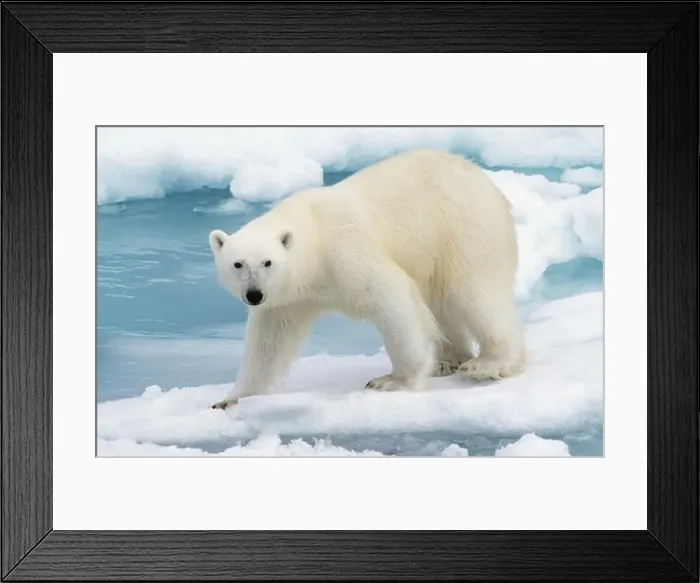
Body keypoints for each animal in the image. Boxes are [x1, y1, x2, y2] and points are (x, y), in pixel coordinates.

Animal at [208, 149, 527, 410]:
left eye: (267, 261)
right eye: (237, 264)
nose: (254, 294)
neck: (315, 239)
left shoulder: (346, 251)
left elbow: (392, 299)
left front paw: (393, 380)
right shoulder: (286, 299)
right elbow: (269, 342)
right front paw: (230, 398)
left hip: (463, 229)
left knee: (475, 293)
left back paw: (487, 364)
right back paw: (450, 360)